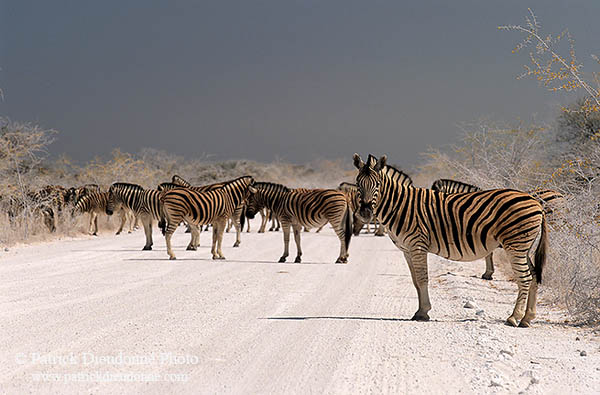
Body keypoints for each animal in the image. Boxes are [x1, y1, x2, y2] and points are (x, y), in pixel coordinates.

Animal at [356, 155, 548, 328]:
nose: (365, 213)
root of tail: (536, 202)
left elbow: (422, 279)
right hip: (524, 248)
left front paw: (423, 313)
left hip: (515, 245)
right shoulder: (406, 249)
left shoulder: (417, 245)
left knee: (524, 278)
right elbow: (415, 281)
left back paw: (514, 318)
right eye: (358, 184)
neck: (401, 206)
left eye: (377, 185)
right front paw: (420, 311)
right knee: (533, 275)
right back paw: (527, 318)